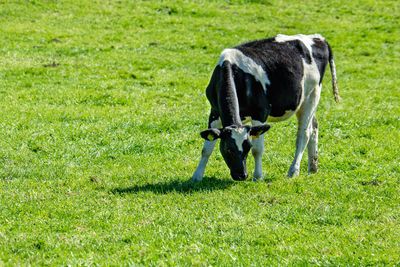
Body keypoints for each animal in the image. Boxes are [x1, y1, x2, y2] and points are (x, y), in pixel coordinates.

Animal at [191, 33, 338, 182]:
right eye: (228, 149)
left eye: (248, 147)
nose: (242, 175)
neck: (233, 71)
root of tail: (318, 38)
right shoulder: (214, 112)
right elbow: (207, 148)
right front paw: (197, 176)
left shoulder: (260, 112)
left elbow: (258, 149)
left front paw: (258, 176)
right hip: (302, 102)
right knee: (314, 126)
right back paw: (313, 167)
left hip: (312, 95)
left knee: (304, 134)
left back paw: (293, 171)